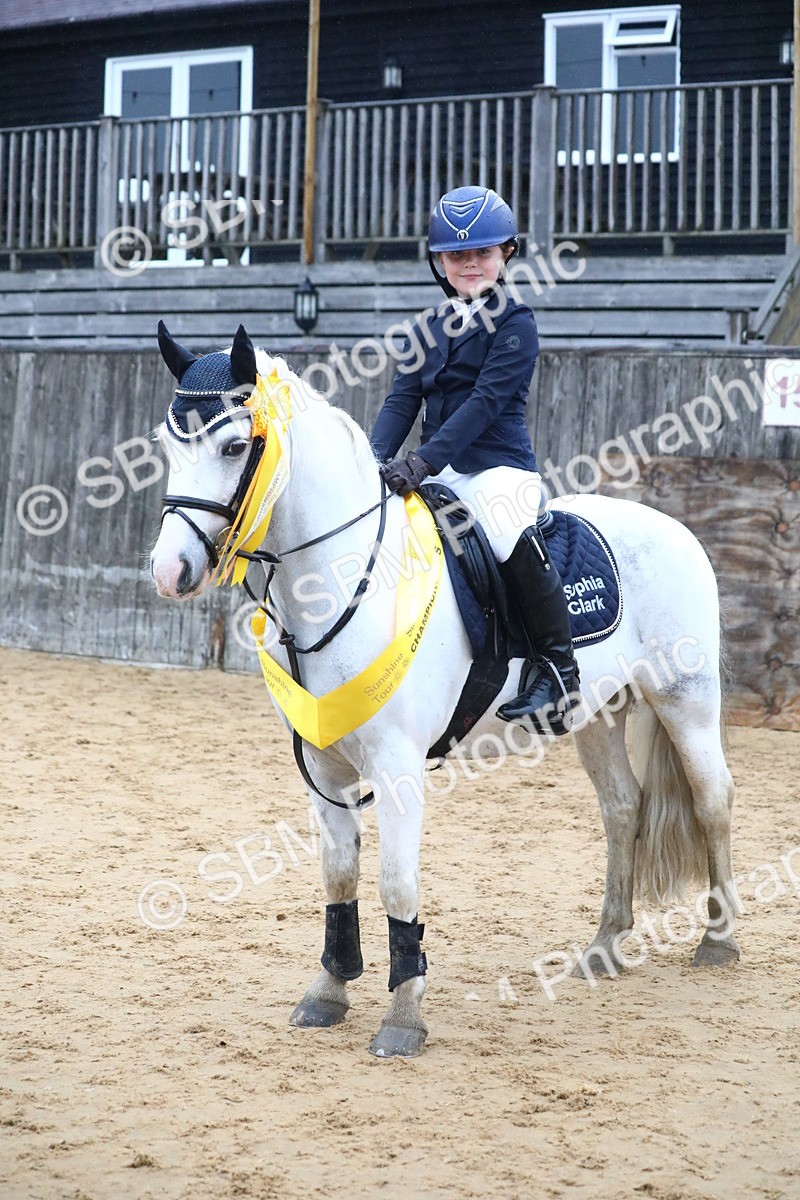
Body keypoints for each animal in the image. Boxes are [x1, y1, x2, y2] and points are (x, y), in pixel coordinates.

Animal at [149, 325, 740, 1059]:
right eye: (166, 444)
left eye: (234, 447)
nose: (169, 571)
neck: (343, 578)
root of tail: (675, 527)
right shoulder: (324, 766)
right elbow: (338, 875)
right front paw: (329, 991)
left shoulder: (398, 767)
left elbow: (396, 883)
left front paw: (403, 1018)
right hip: (594, 715)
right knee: (622, 809)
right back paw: (605, 947)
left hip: (685, 700)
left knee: (712, 799)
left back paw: (719, 942)